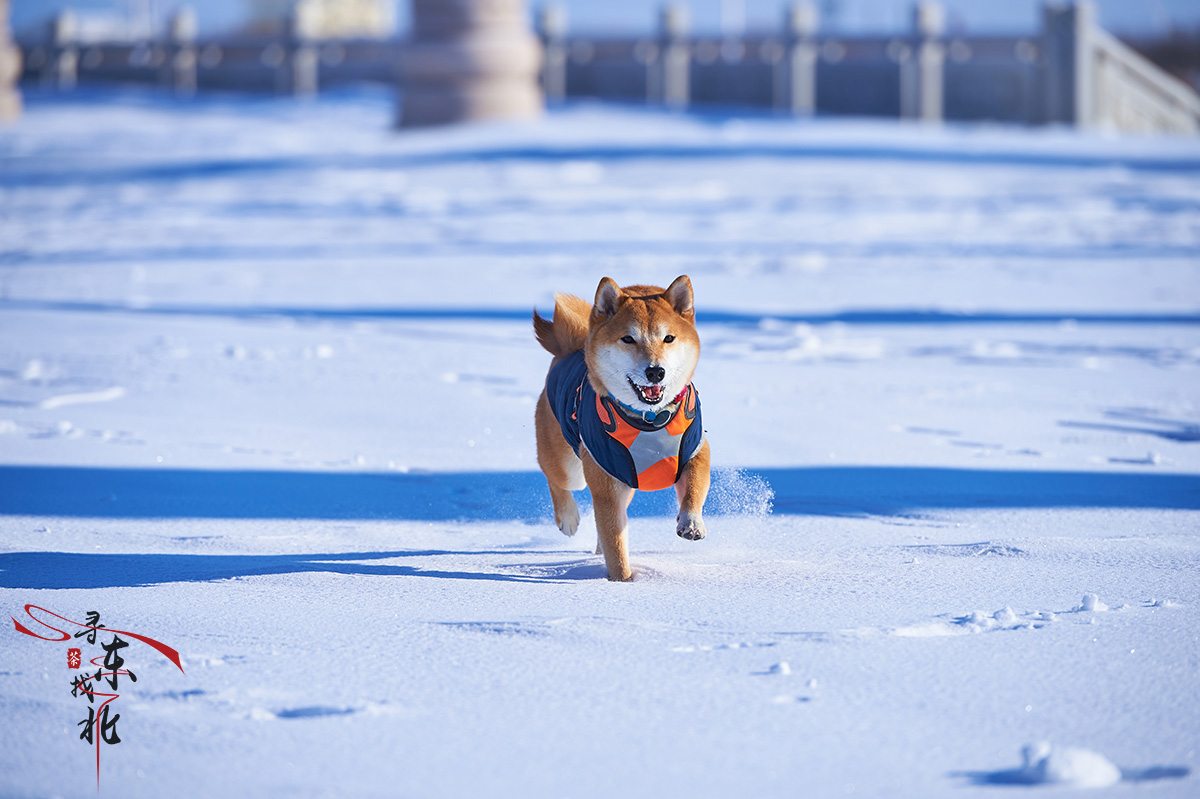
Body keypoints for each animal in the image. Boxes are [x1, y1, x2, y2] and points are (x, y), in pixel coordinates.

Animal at [530, 273, 705, 578]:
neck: (650, 420)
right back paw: (568, 517)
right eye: (628, 339)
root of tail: (569, 349)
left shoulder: (692, 449)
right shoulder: (606, 479)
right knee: (557, 479)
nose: (655, 371)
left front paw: (691, 523)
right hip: (569, 464)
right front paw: (623, 580)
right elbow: (616, 543)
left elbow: (695, 485)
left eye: (669, 338)